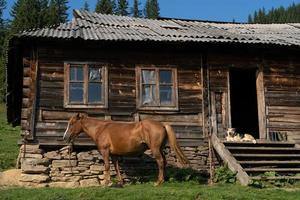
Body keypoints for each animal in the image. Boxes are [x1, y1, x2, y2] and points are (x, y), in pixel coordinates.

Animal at [62, 113, 190, 187]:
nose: (65, 137)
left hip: (155, 149)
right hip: (160, 149)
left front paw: (106, 183)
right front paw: (121, 183)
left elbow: (107, 167)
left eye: (71, 123)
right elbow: (117, 167)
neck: (101, 129)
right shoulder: (113, 155)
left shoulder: (105, 152)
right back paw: (163, 180)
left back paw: (158, 182)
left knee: (160, 162)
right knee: (164, 161)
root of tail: (162, 124)